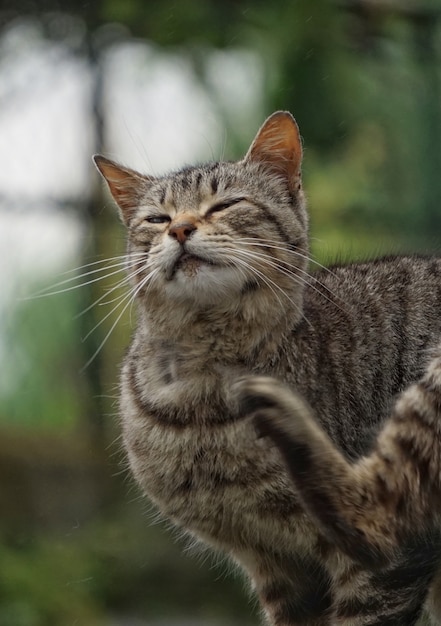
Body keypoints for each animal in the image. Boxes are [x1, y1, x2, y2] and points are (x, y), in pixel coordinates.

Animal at [94, 112, 440, 624]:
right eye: (157, 219)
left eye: (225, 204)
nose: (180, 229)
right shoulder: (272, 563)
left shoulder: (381, 572)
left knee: (380, 522)